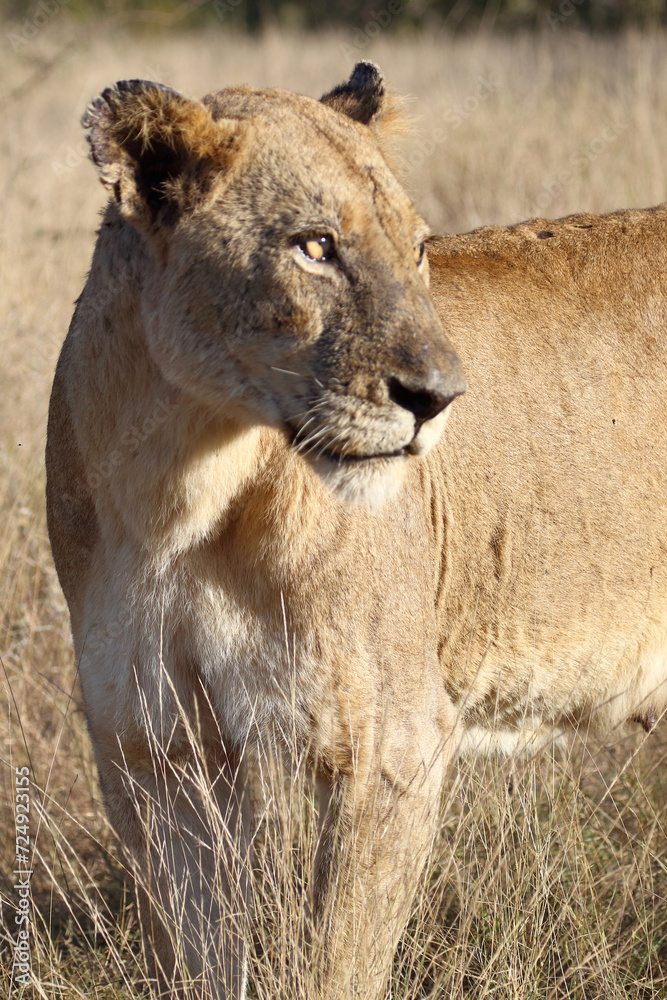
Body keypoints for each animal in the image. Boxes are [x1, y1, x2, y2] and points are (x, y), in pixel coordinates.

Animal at [45, 62, 667, 999]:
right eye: (315, 247)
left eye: (418, 250)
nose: (440, 398)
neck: (175, 497)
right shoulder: (151, 753)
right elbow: (203, 957)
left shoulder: (391, 745)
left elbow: (336, 966)